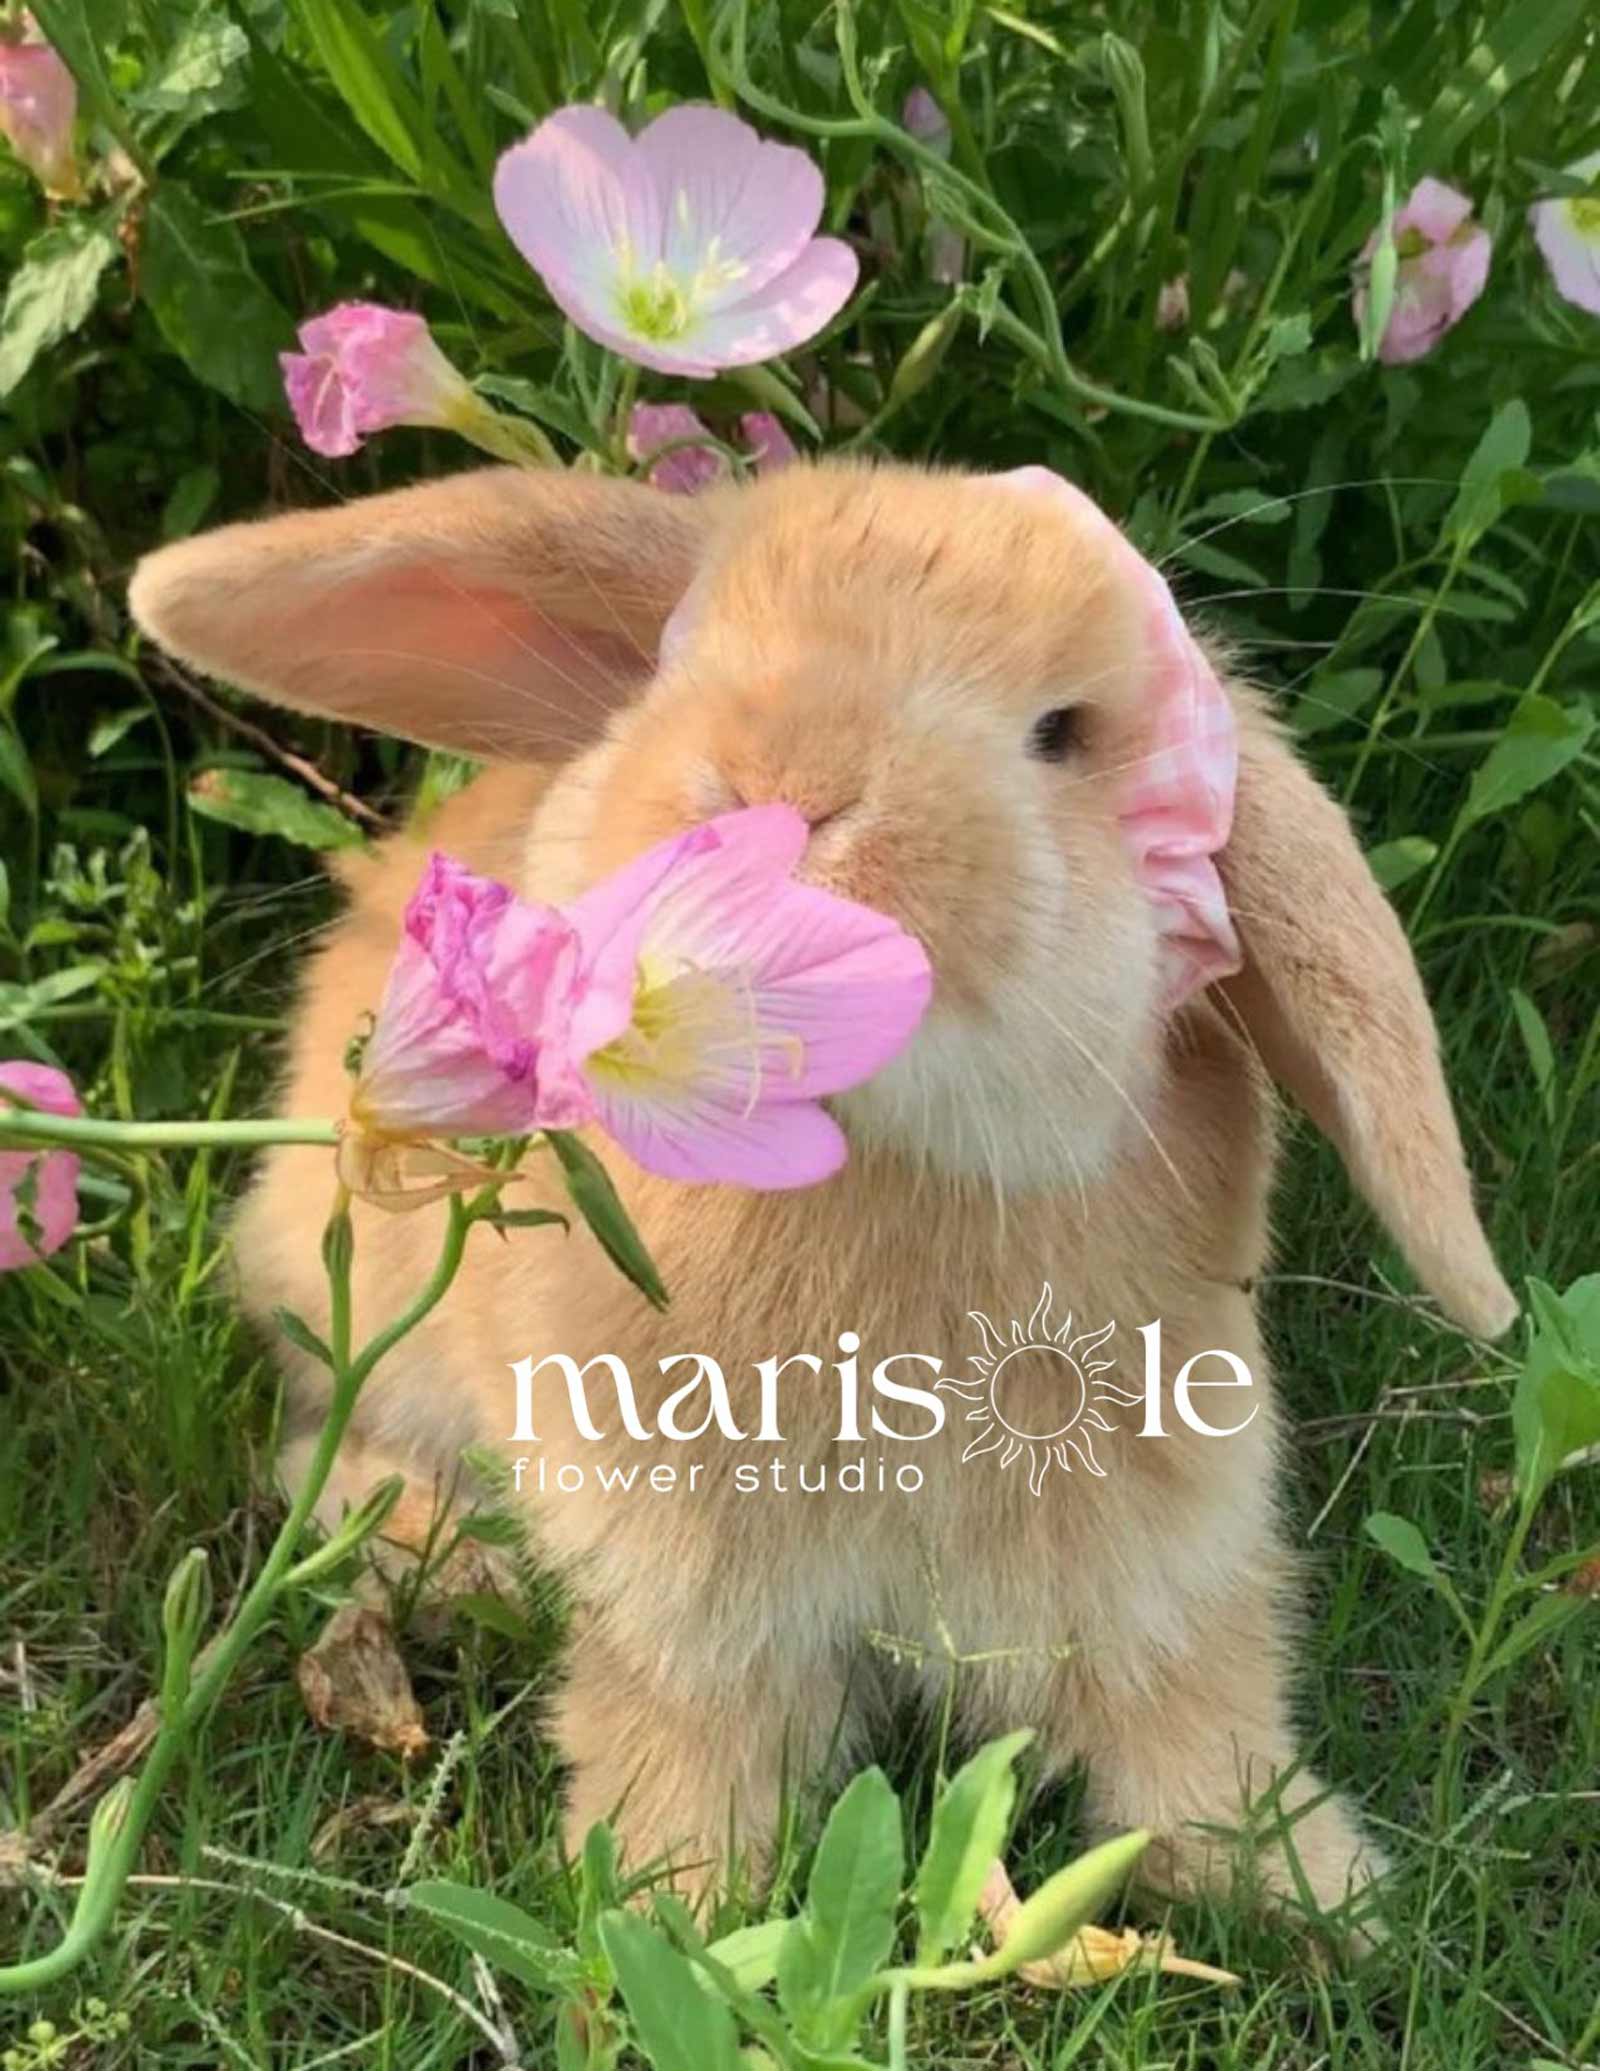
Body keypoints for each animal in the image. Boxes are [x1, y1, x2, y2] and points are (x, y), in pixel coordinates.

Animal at [128, 458, 1515, 1937]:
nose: (781, 782)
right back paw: (440, 1551)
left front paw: (1317, 1890)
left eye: (1065, 734)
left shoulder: (1163, 1546)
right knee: (321, 1443)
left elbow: (1196, 1721)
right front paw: (665, 1903)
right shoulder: (686, 1587)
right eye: (685, 654)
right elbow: (691, 1731)